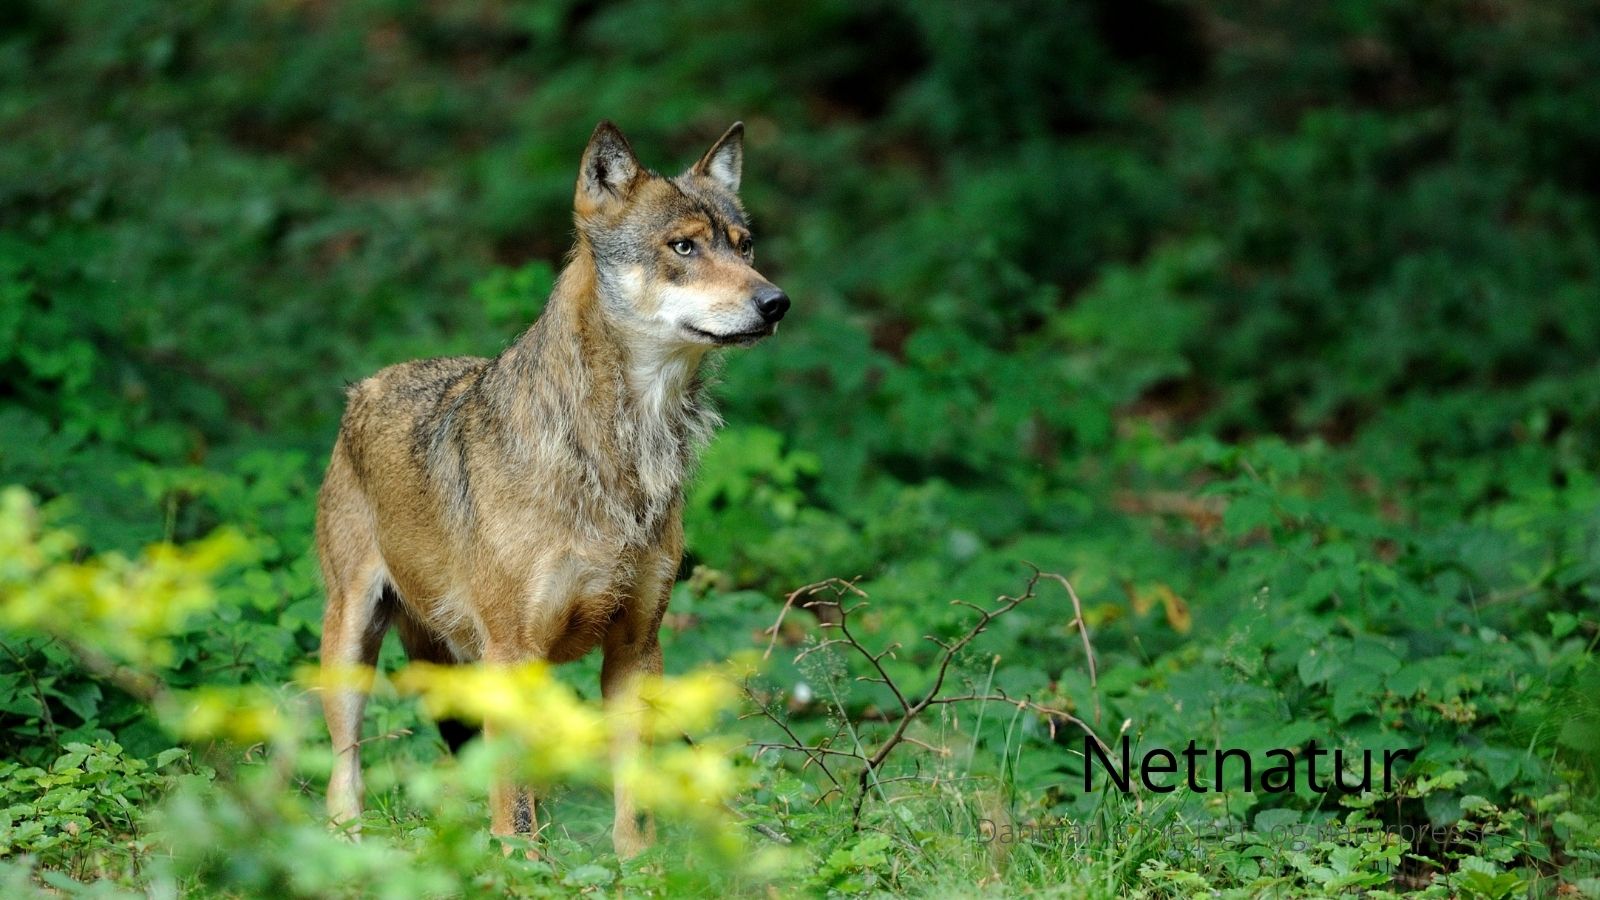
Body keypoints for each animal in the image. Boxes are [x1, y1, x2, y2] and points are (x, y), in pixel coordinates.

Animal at [314, 120, 788, 857]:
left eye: (744, 246)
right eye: (683, 247)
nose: (776, 302)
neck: (621, 453)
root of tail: (365, 387)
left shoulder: (636, 651)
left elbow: (633, 795)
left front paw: (636, 866)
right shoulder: (513, 652)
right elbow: (513, 804)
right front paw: (519, 867)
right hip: (354, 642)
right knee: (346, 767)